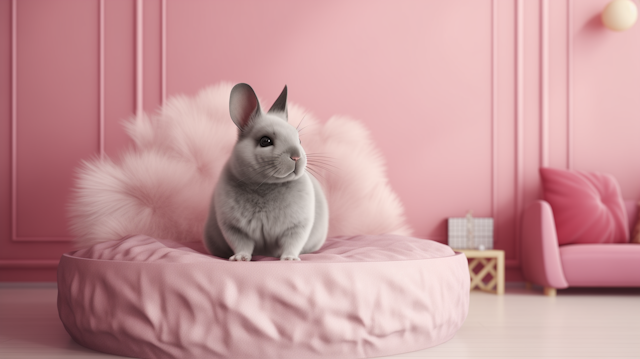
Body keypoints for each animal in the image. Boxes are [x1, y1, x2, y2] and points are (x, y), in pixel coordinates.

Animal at [202, 83, 328, 262]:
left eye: (299, 140)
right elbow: (242, 245)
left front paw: (289, 259)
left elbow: (292, 244)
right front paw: (240, 258)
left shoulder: (298, 227)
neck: (266, 185)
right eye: (265, 141)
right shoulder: (234, 228)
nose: (296, 156)